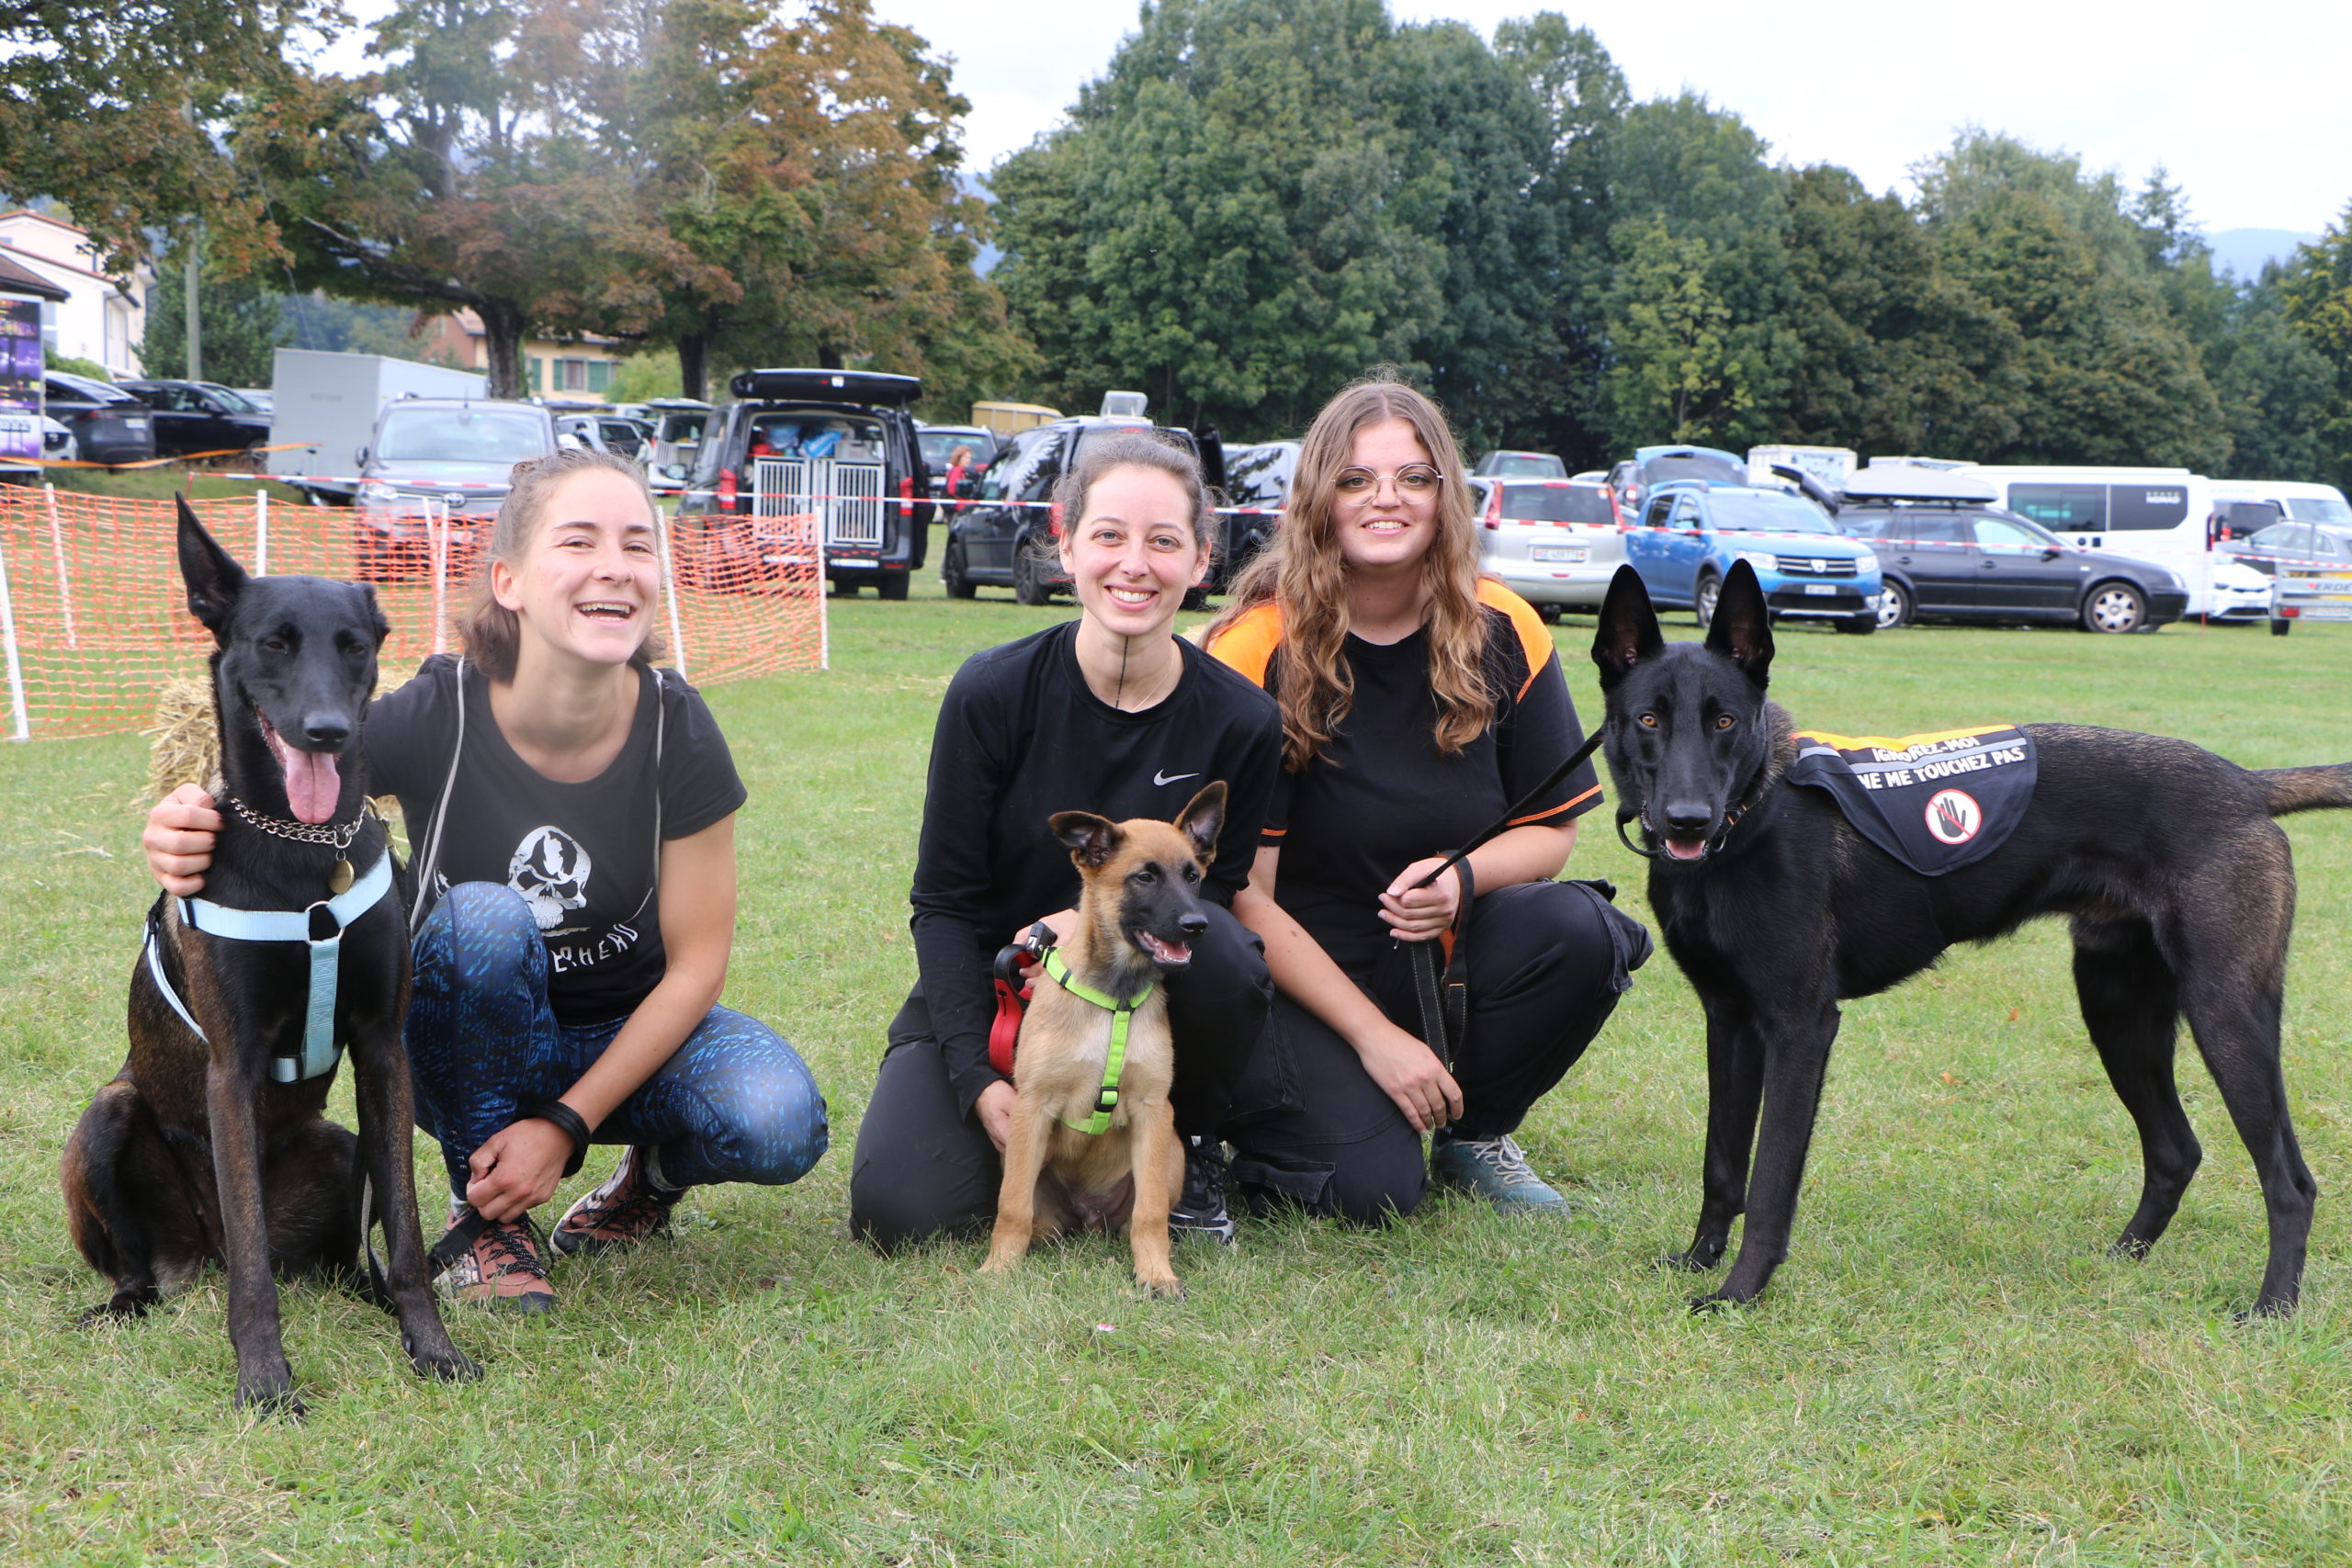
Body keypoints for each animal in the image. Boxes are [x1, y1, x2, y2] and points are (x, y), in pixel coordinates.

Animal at [59, 499, 474, 1413]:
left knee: (346, 1249)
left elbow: (405, 1224)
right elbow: (255, 1269)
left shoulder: (383, 1051)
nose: (328, 730)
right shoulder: (233, 1068)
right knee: (165, 1262)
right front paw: (264, 1378)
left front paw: (430, 1343)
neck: (302, 855)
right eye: (273, 642)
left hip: (340, 1145)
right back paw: (126, 1302)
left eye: (353, 644)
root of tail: (198, 1251)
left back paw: (367, 1288)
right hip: (108, 1116)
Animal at [980, 782, 1226, 1298]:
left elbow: (1150, 1216)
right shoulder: (1031, 1107)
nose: (1197, 925)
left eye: (1193, 876)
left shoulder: (1154, 1110)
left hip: (1171, 1154)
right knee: (1030, 1213)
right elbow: (1011, 1207)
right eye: (1144, 877)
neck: (1114, 999)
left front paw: (1156, 1274)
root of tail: (1086, 1213)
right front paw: (998, 1270)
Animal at [1593, 560, 2331, 1317]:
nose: (1686, 819)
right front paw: (1699, 1258)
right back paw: (2122, 1258)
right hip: (2117, 1012)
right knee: (2176, 1149)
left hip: (2224, 1015)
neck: (1751, 816)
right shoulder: (1729, 1021)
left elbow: (1770, 1179)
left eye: (1726, 721)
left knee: (2290, 1180)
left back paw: (2274, 1304)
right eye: (1648, 718)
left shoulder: (1800, 1028)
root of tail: (2247, 785)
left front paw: (1740, 1290)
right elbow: (1722, 1162)